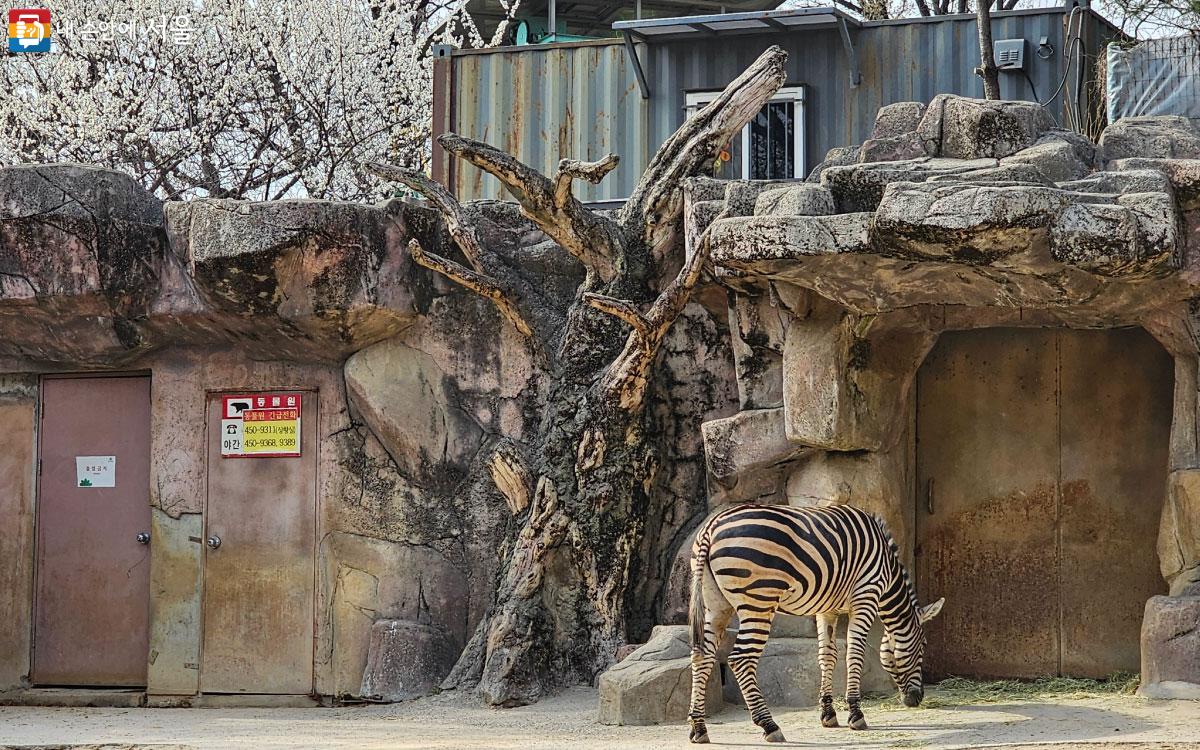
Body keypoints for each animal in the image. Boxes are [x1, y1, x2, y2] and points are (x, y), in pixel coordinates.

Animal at [691, 499, 940, 739]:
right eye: (923, 646)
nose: (918, 698)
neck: (887, 568)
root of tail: (711, 527)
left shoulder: (827, 609)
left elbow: (827, 655)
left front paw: (828, 714)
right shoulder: (866, 596)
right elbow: (854, 653)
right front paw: (856, 714)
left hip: (716, 605)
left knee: (702, 656)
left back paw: (699, 728)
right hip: (759, 601)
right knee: (741, 659)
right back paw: (769, 725)